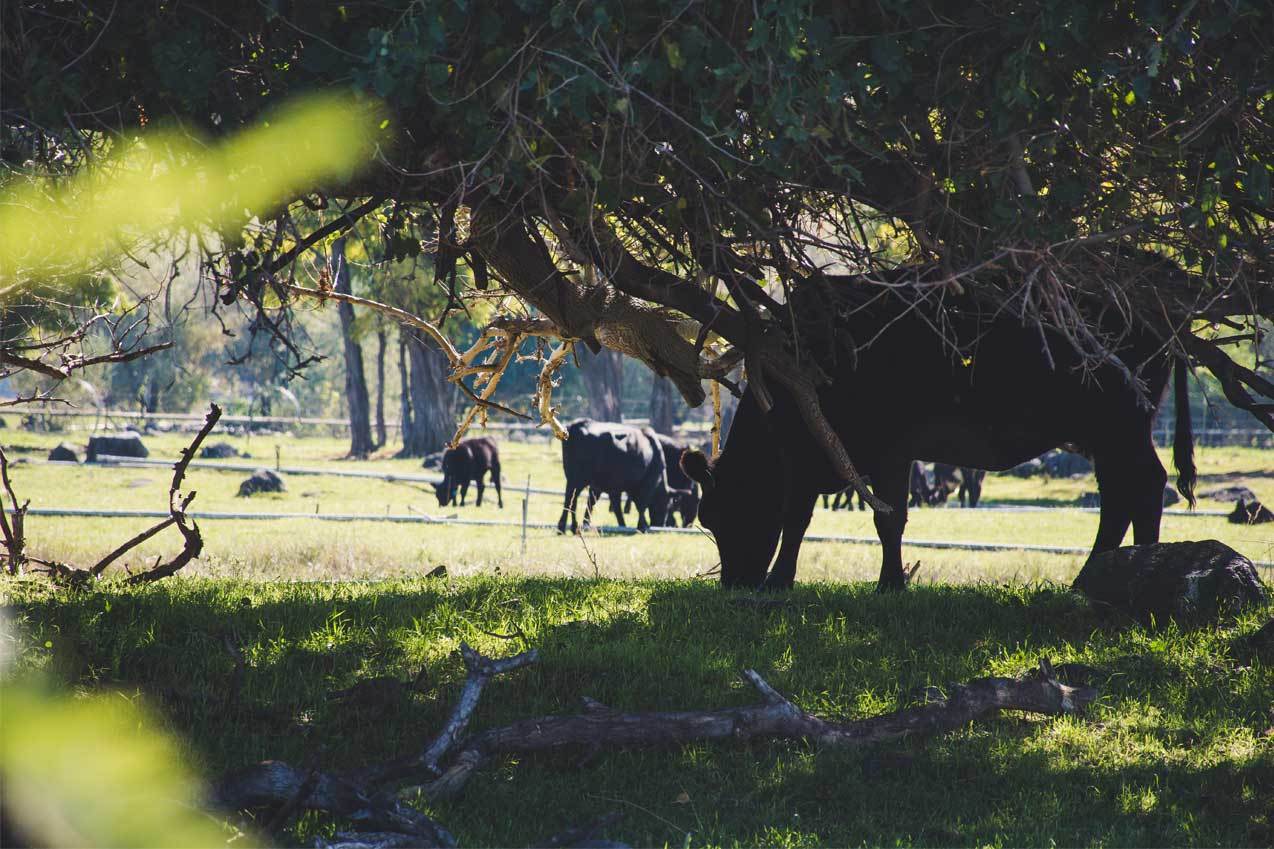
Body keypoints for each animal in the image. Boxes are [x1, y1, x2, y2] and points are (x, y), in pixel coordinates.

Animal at [557, 420, 689, 533]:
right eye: (666, 505)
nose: (659, 524)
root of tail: (577, 425)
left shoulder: (604, 486)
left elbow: (601, 505)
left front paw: (622, 525)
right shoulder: (646, 484)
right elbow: (641, 506)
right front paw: (642, 526)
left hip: (574, 479)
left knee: (571, 500)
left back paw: (567, 528)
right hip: (578, 479)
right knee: (571, 500)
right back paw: (567, 527)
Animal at [681, 284, 1195, 592]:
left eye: (721, 515)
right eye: (706, 519)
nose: (734, 583)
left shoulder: (880, 450)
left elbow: (879, 518)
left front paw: (886, 584)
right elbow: (805, 519)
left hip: (1120, 423)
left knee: (1144, 485)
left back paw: (1139, 569)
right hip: (1108, 433)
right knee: (1122, 494)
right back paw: (1103, 574)